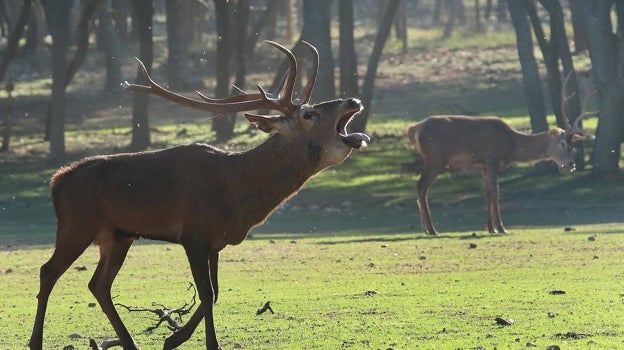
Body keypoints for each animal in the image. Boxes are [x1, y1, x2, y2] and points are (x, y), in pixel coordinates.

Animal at [29, 41, 368, 350]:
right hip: (76, 226)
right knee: (48, 272)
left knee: (98, 285)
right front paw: (193, 341)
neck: (237, 197)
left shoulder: (216, 241)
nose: (353, 99)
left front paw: (174, 338)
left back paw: (129, 343)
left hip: (118, 236)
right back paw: (36, 342)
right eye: (310, 114)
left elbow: (215, 292)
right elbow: (205, 293)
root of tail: (57, 181)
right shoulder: (192, 234)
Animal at [408, 73, 592, 235]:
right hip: (435, 159)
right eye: (563, 144)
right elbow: (495, 192)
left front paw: (490, 227)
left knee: (420, 188)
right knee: (421, 186)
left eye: (572, 145)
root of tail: (414, 129)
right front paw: (501, 228)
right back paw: (432, 229)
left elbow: (487, 194)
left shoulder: (482, 165)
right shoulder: (492, 159)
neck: (511, 146)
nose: (571, 165)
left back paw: (426, 229)